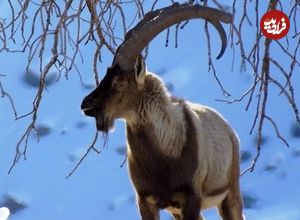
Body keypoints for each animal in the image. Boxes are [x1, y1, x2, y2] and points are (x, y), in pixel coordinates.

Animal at [80, 2, 244, 219]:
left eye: (119, 82)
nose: (86, 104)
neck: (163, 157)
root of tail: (229, 130)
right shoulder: (146, 200)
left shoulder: (191, 197)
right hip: (177, 210)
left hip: (229, 192)